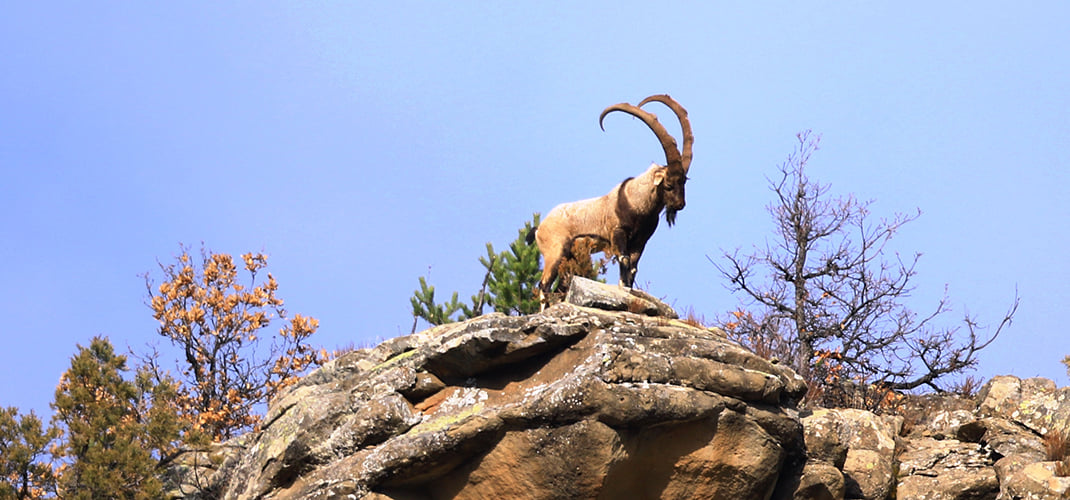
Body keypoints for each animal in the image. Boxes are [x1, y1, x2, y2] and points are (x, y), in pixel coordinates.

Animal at [532, 94, 693, 306]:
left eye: (684, 181)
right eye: (668, 185)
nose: (679, 205)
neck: (637, 206)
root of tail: (539, 228)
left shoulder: (640, 241)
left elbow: (632, 268)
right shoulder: (617, 234)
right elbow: (624, 260)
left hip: (572, 258)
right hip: (555, 252)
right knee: (544, 286)